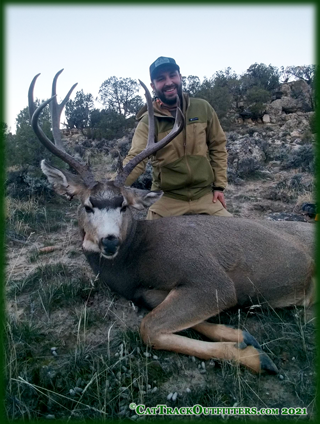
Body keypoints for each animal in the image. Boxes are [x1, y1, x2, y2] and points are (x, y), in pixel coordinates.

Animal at [28, 68, 316, 374]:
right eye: (87, 205)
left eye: (124, 206)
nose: (110, 241)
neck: (134, 263)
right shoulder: (149, 293)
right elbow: (180, 321)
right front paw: (243, 337)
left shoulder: (209, 278)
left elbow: (148, 328)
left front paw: (255, 357)